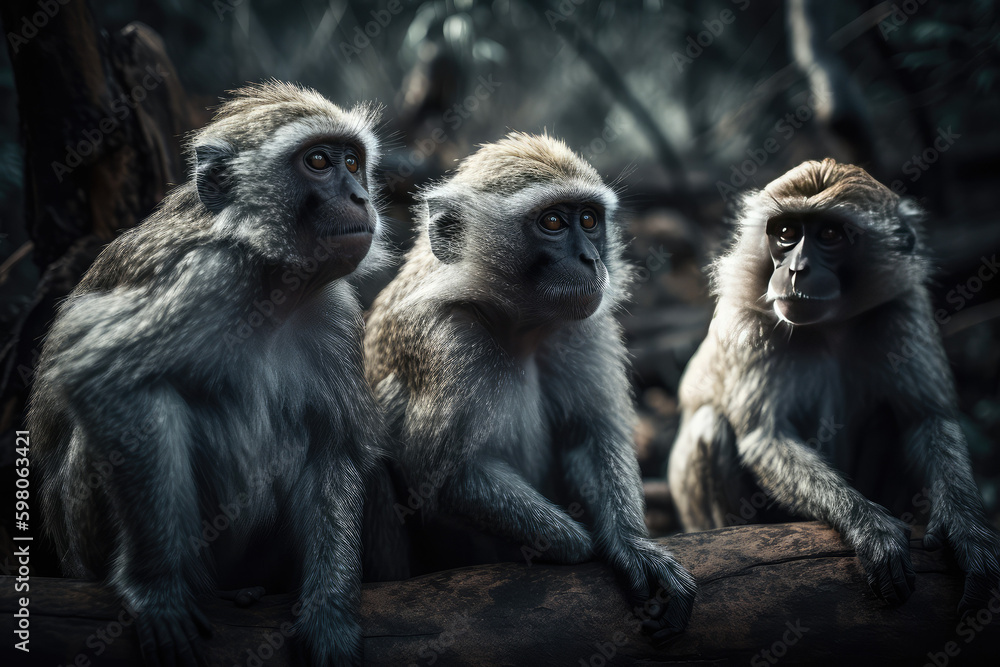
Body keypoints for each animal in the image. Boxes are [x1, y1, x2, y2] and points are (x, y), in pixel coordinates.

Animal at [28, 81, 391, 666]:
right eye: (318, 162)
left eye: (354, 162)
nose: (361, 197)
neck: (273, 283)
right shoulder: (209, 275)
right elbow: (104, 375)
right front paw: (155, 588)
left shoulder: (333, 313)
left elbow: (330, 446)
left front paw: (329, 613)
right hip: (82, 539)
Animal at [364, 132, 697, 641]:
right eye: (553, 222)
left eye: (588, 220)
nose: (590, 259)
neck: (515, 327)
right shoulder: (443, 340)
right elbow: (437, 476)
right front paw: (579, 544)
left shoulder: (582, 328)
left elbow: (586, 435)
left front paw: (629, 544)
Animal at [669, 158, 1000, 613]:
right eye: (786, 233)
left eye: (829, 235)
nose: (794, 270)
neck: (829, 327)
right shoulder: (748, 322)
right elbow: (764, 436)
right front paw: (871, 527)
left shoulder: (900, 307)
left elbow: (925, 418)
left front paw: (966, 530)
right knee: (710, 426)